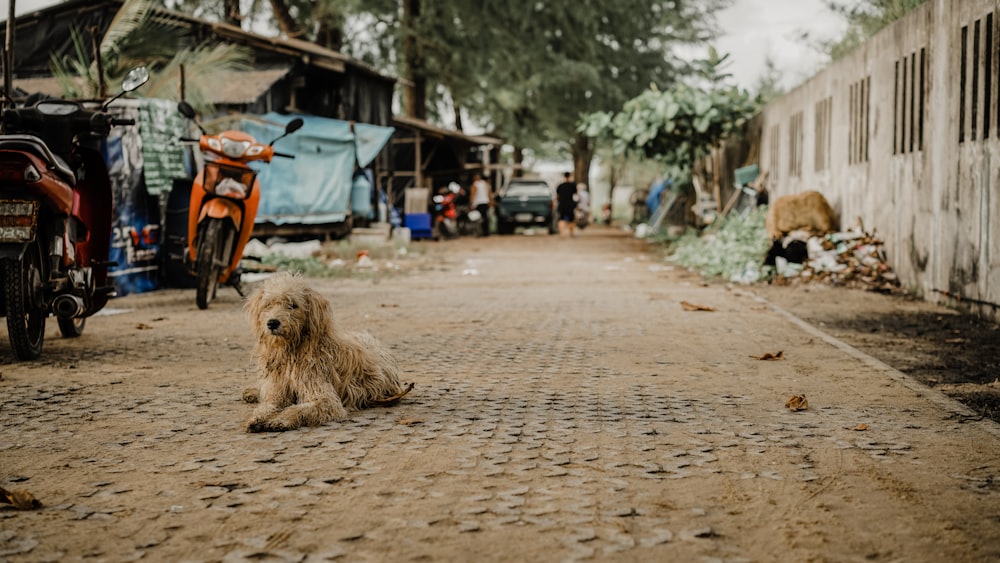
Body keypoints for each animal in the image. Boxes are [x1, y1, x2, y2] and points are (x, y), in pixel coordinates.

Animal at [241, 270, 410, 434]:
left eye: (293, 305)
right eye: (268, 304)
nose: (272, 323)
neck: (291, 351)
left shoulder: (326, 400)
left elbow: (299, 408)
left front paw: (282, 419)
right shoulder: (277, 393)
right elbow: (267, 405)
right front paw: (258, 418)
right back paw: (253, 392)